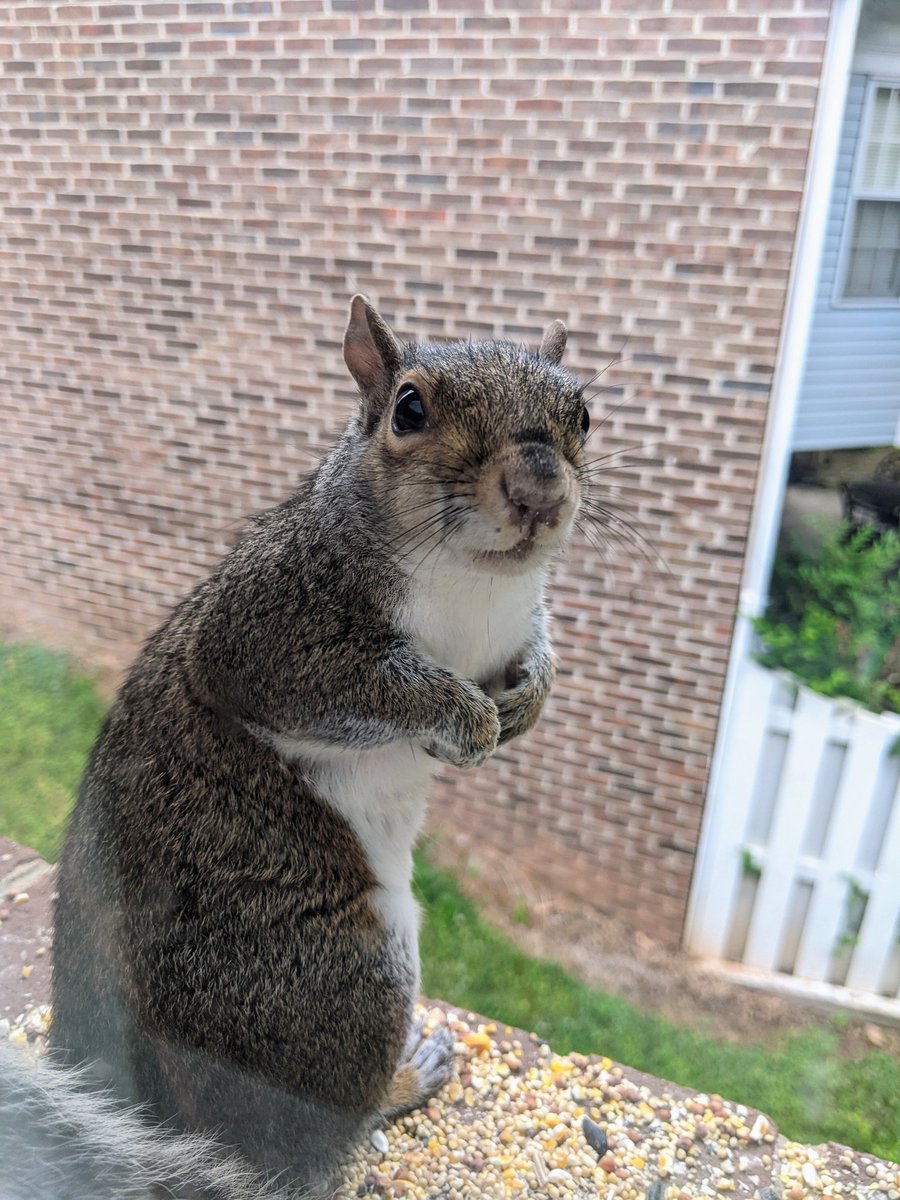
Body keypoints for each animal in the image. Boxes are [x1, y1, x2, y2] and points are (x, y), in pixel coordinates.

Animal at [0, 296, 588, 1200]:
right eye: (409, 410)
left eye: (584, 414)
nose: (538, 491)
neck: (475, 588)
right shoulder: (267, 631)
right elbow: (368, 689)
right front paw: (465, 717)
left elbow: (533, 656)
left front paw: (530, 696)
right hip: (336, 974)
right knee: (308, 1139)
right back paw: (402, 1080)